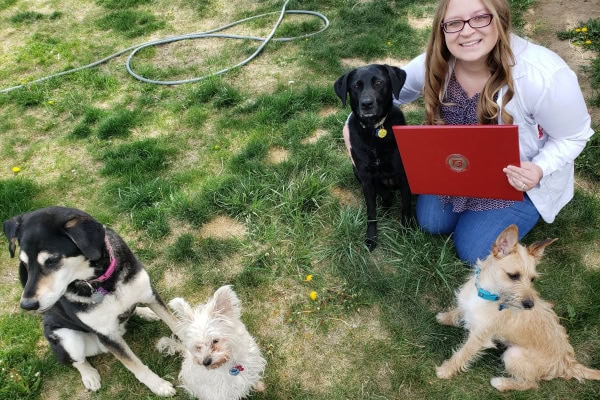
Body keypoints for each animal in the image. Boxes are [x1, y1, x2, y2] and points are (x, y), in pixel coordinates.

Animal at [2, 206, 180, 396]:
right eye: (24, 263)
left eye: (52, 260)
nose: (27, 305)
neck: (101, 282)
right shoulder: (107, 336)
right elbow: (135, 366)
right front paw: (159, 385)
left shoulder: (149, 294)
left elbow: (176, 325)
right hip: (67, 340)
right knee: (77, 361)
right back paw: (89, 376)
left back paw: (145, 312)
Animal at [332, 63, 412, 250]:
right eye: (355, 86)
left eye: (379, 82)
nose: (366, 104)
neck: (375, 131)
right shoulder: (366, 178)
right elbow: (371, 212)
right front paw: (371, 237)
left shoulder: (403, 175)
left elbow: (406, 206)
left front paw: (407, 230)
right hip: (354, 169)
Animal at [436, 225, 600, 390]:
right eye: (513, 276)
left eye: (532, 279)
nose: (530, 305)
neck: (486, 294)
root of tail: (567, 363)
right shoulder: (467, 306)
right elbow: (458, 312)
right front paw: (444, 318)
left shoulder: (479, 337)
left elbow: (463, 354)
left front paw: (446, 370)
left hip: (513, 355)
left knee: (531, 384)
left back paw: (501, 383)